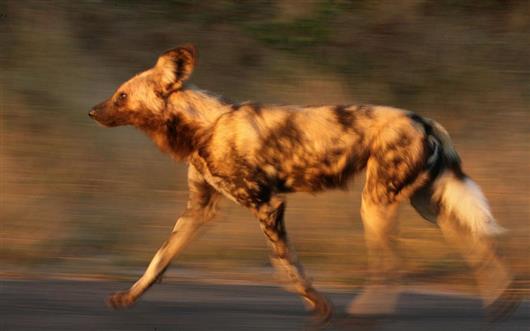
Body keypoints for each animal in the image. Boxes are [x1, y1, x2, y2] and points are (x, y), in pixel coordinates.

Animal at [89, 45, 520, 322]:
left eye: (122, 95)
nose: (92, 111)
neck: (204, 127)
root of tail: (424, 119)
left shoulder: (268, 205)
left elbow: (287, 264)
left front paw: (318, 305)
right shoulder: (199, 210)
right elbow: (158, 261)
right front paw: (128, 297)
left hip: (376, 206)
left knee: (394, 264)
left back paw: (366, 313)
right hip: (431, 208)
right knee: (480, 248)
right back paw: (501, 304)